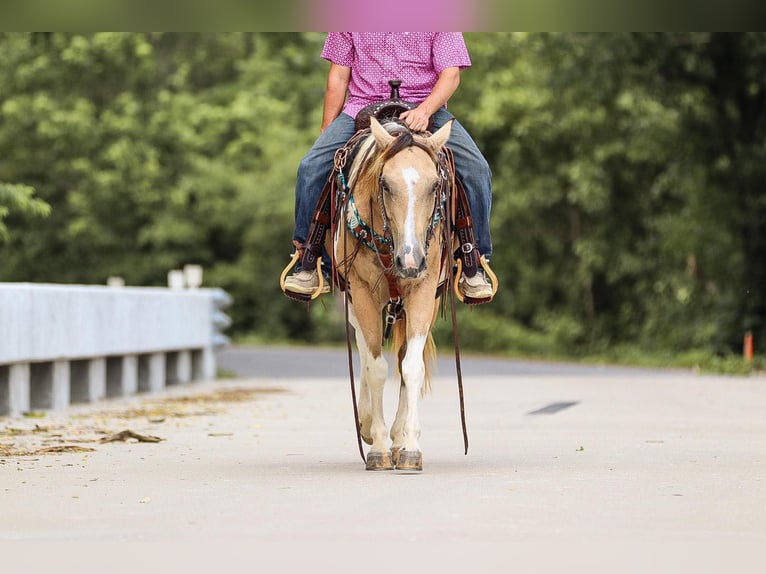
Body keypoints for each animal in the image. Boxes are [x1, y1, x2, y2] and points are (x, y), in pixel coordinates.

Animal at [332, 118, 456, 472]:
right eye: (385, 185)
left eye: (434, 186)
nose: (410, 260)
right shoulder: (360, 293)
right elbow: (375, 367)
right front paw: (377, 447)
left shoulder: (424, 292)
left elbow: (411, 367)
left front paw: (409, 446)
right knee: (365, 352)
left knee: (401, 360)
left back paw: (399, 437)